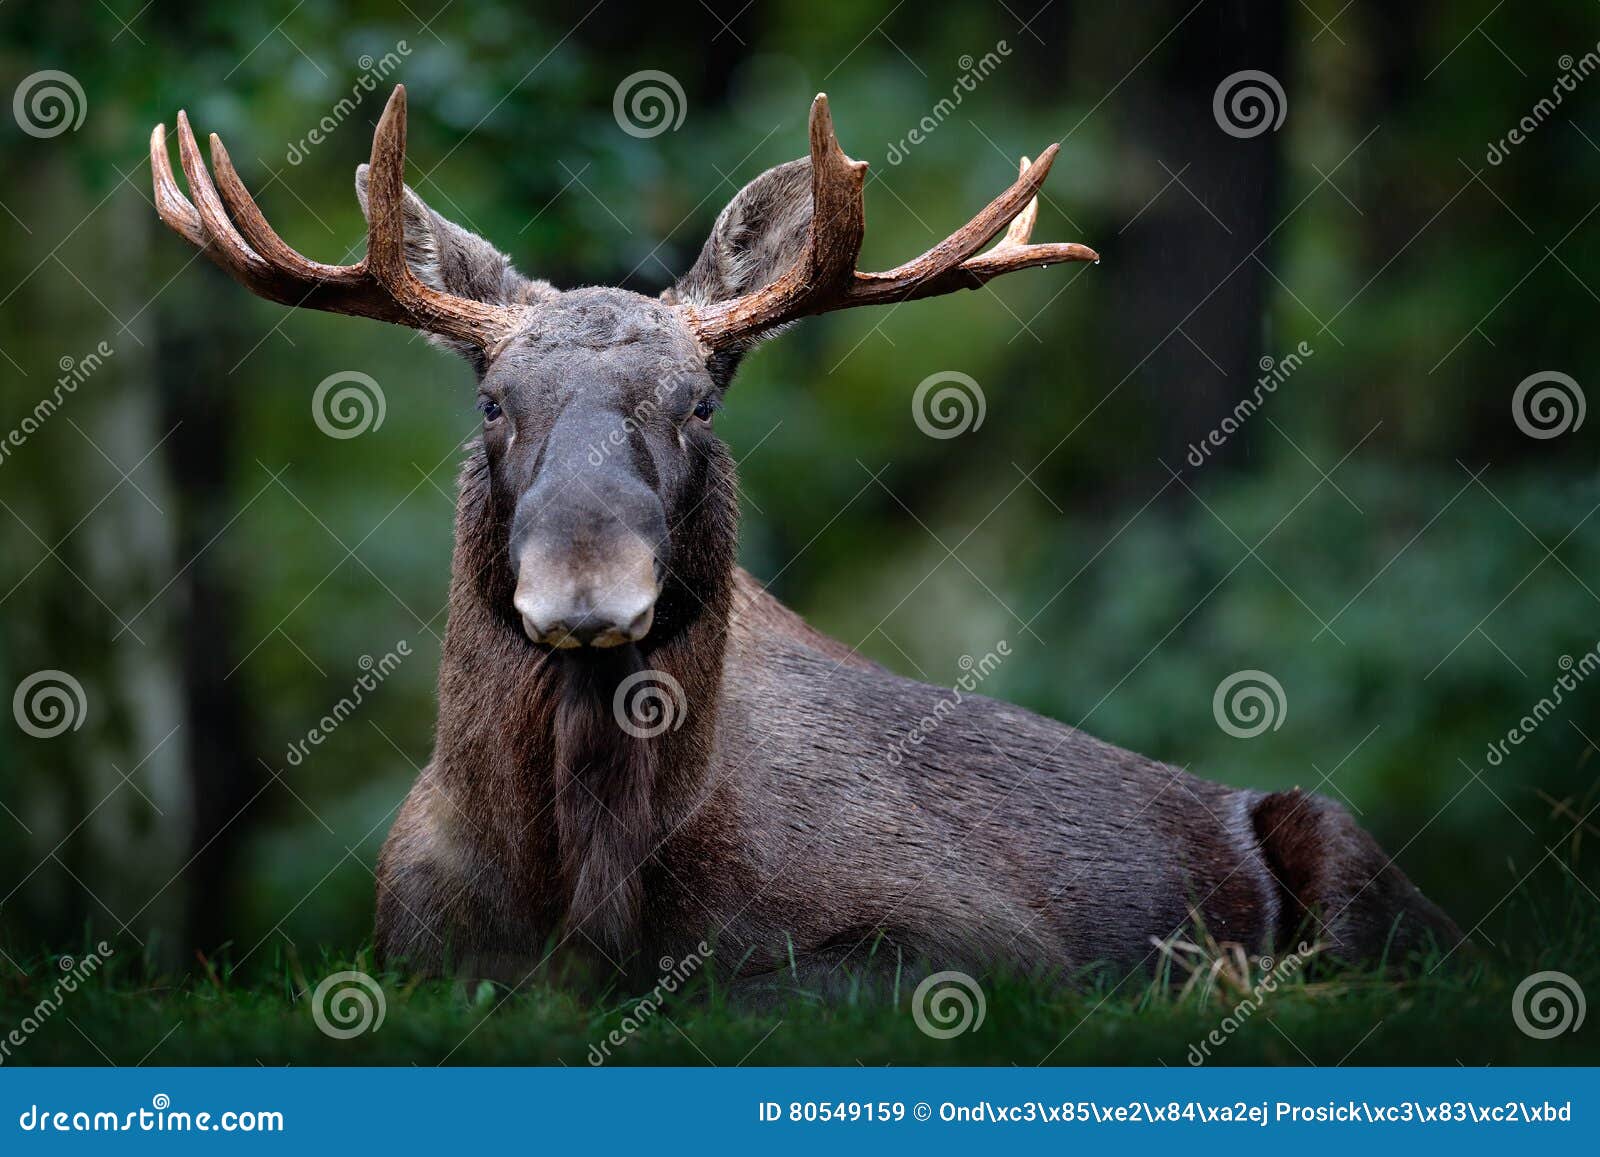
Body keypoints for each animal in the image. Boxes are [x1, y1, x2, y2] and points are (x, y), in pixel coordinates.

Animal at [152, 86, 1465, 992]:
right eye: (490, 402)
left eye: (699, 404)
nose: (585, 589)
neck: (585, 888)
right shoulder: (408, 948)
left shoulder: (993, 943)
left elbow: (758, 988)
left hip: (1361, 864)